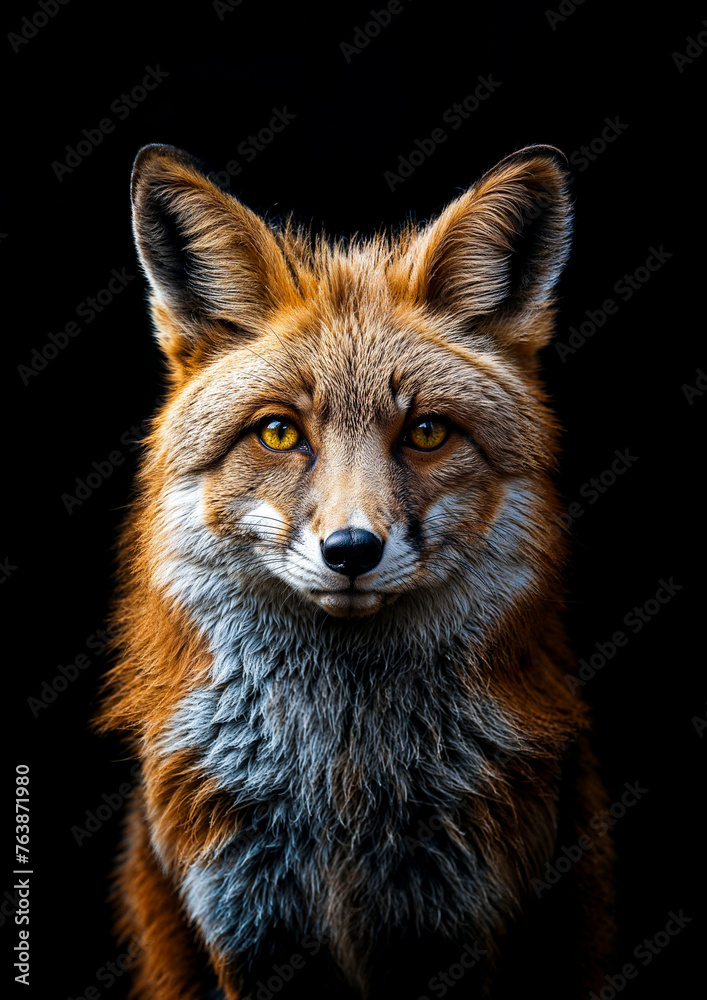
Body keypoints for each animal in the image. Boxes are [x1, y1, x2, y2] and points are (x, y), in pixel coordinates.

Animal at [97, 142, 614, 1000]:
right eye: (278, 432)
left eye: (427, 432)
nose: (350, 551)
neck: (341, 792)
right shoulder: (245, 925)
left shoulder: (460, 921)